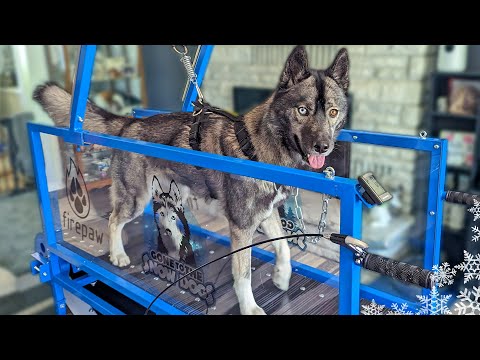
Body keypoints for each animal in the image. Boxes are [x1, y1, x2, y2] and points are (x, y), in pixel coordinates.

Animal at [32, 45, 348, 316]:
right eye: (302, 110)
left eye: (333, 112)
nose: (324, 147)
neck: (260, 146)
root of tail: (130, 123)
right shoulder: (242, 226)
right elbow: (243, 274)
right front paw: (249, 307)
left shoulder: (266, 214)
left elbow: (283, 248)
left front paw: (281, 277)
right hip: (135, 198)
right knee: (113, 221)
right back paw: (118, 255)